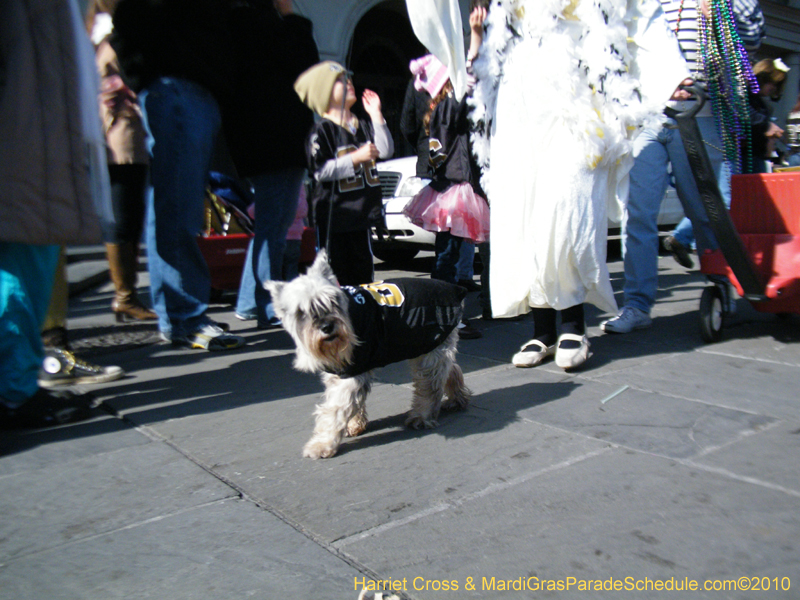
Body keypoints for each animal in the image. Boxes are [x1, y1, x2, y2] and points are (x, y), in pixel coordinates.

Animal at [266, 251, 472, 458]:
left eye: (332, 302)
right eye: (301, 312)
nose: (327, 327)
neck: (348, 316)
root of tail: (456, 290)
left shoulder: (352, 374)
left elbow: (334, 410)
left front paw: (321, 444)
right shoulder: (341, 372)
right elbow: (352, 404)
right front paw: (354, 425)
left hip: (428, 351)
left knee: (429, 386)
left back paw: (422, 416)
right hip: (428, 347)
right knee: (450, 370)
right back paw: (457, 399)